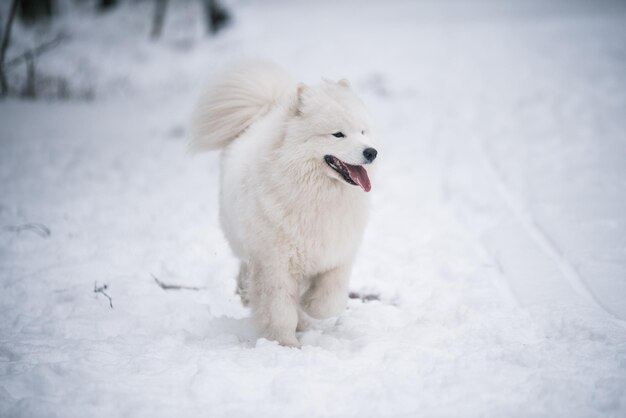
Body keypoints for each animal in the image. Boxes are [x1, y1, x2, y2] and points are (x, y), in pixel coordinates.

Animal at [189, 60, 376, 344]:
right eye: (338, 134)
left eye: (363, 131)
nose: (371, 152)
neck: (318, 195)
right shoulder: (274, 265)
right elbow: (279, 311)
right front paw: (285, 344)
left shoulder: (337, 253)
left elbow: (330, 300)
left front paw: (310, 306)